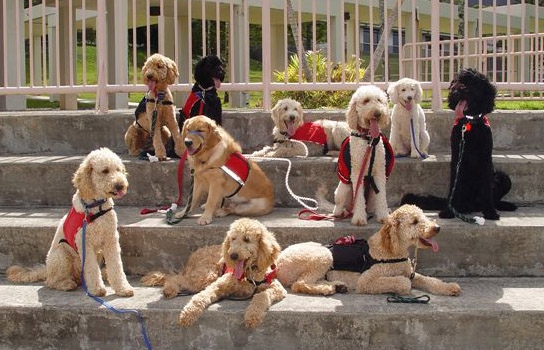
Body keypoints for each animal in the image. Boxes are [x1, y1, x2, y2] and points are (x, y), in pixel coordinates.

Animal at [7, 148, 134, 298]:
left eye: (119, 170)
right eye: (105, 171)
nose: (121, 186)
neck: (96, 207)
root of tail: (46, 270)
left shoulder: (111, 241)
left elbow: (116, 266)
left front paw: (123, 288)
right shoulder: (85, 243)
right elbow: (92, 268)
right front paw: (97, 289)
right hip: (61, 255)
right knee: (51, 281)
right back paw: (66, 284)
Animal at [332, 86, 392, 226]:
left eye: (379, 100)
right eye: (366, 101)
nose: (377, 113)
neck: (368, 139)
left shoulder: (380, 172)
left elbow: (382, 197)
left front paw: (384, 216)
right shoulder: (357, 172)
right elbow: (359, 197)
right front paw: (359, 218)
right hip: (343, 188)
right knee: (339, 204)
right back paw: (341, 212)